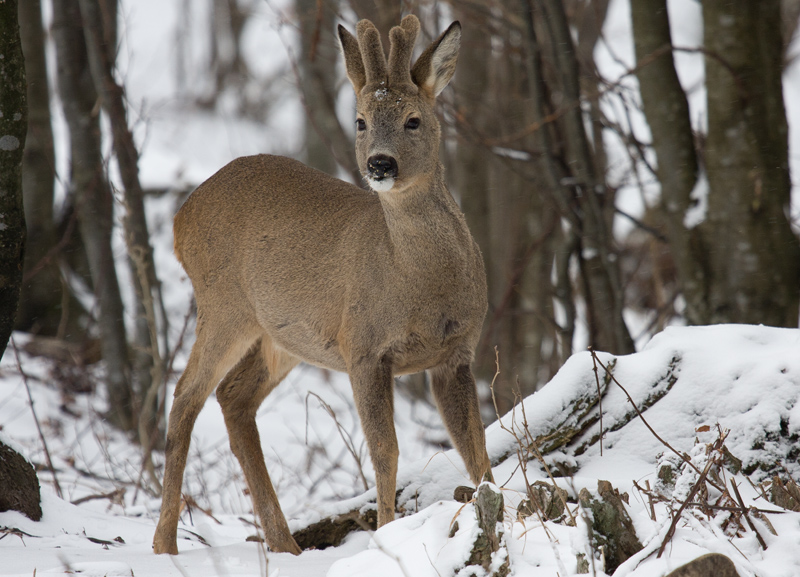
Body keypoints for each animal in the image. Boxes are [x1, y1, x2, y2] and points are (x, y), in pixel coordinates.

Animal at [152, 13, 490, 552]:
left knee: (233, 398)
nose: (380, 164)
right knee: (186, 396)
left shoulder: (456, 352)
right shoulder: (364, 346)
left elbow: (474, 447)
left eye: (413, 120)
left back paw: (283, 544)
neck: (419, 286)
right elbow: (386, 450)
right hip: (224, 304)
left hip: (282, 333)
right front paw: (386, 535)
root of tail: (180, 216)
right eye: (361, 121)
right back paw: (165, 543)